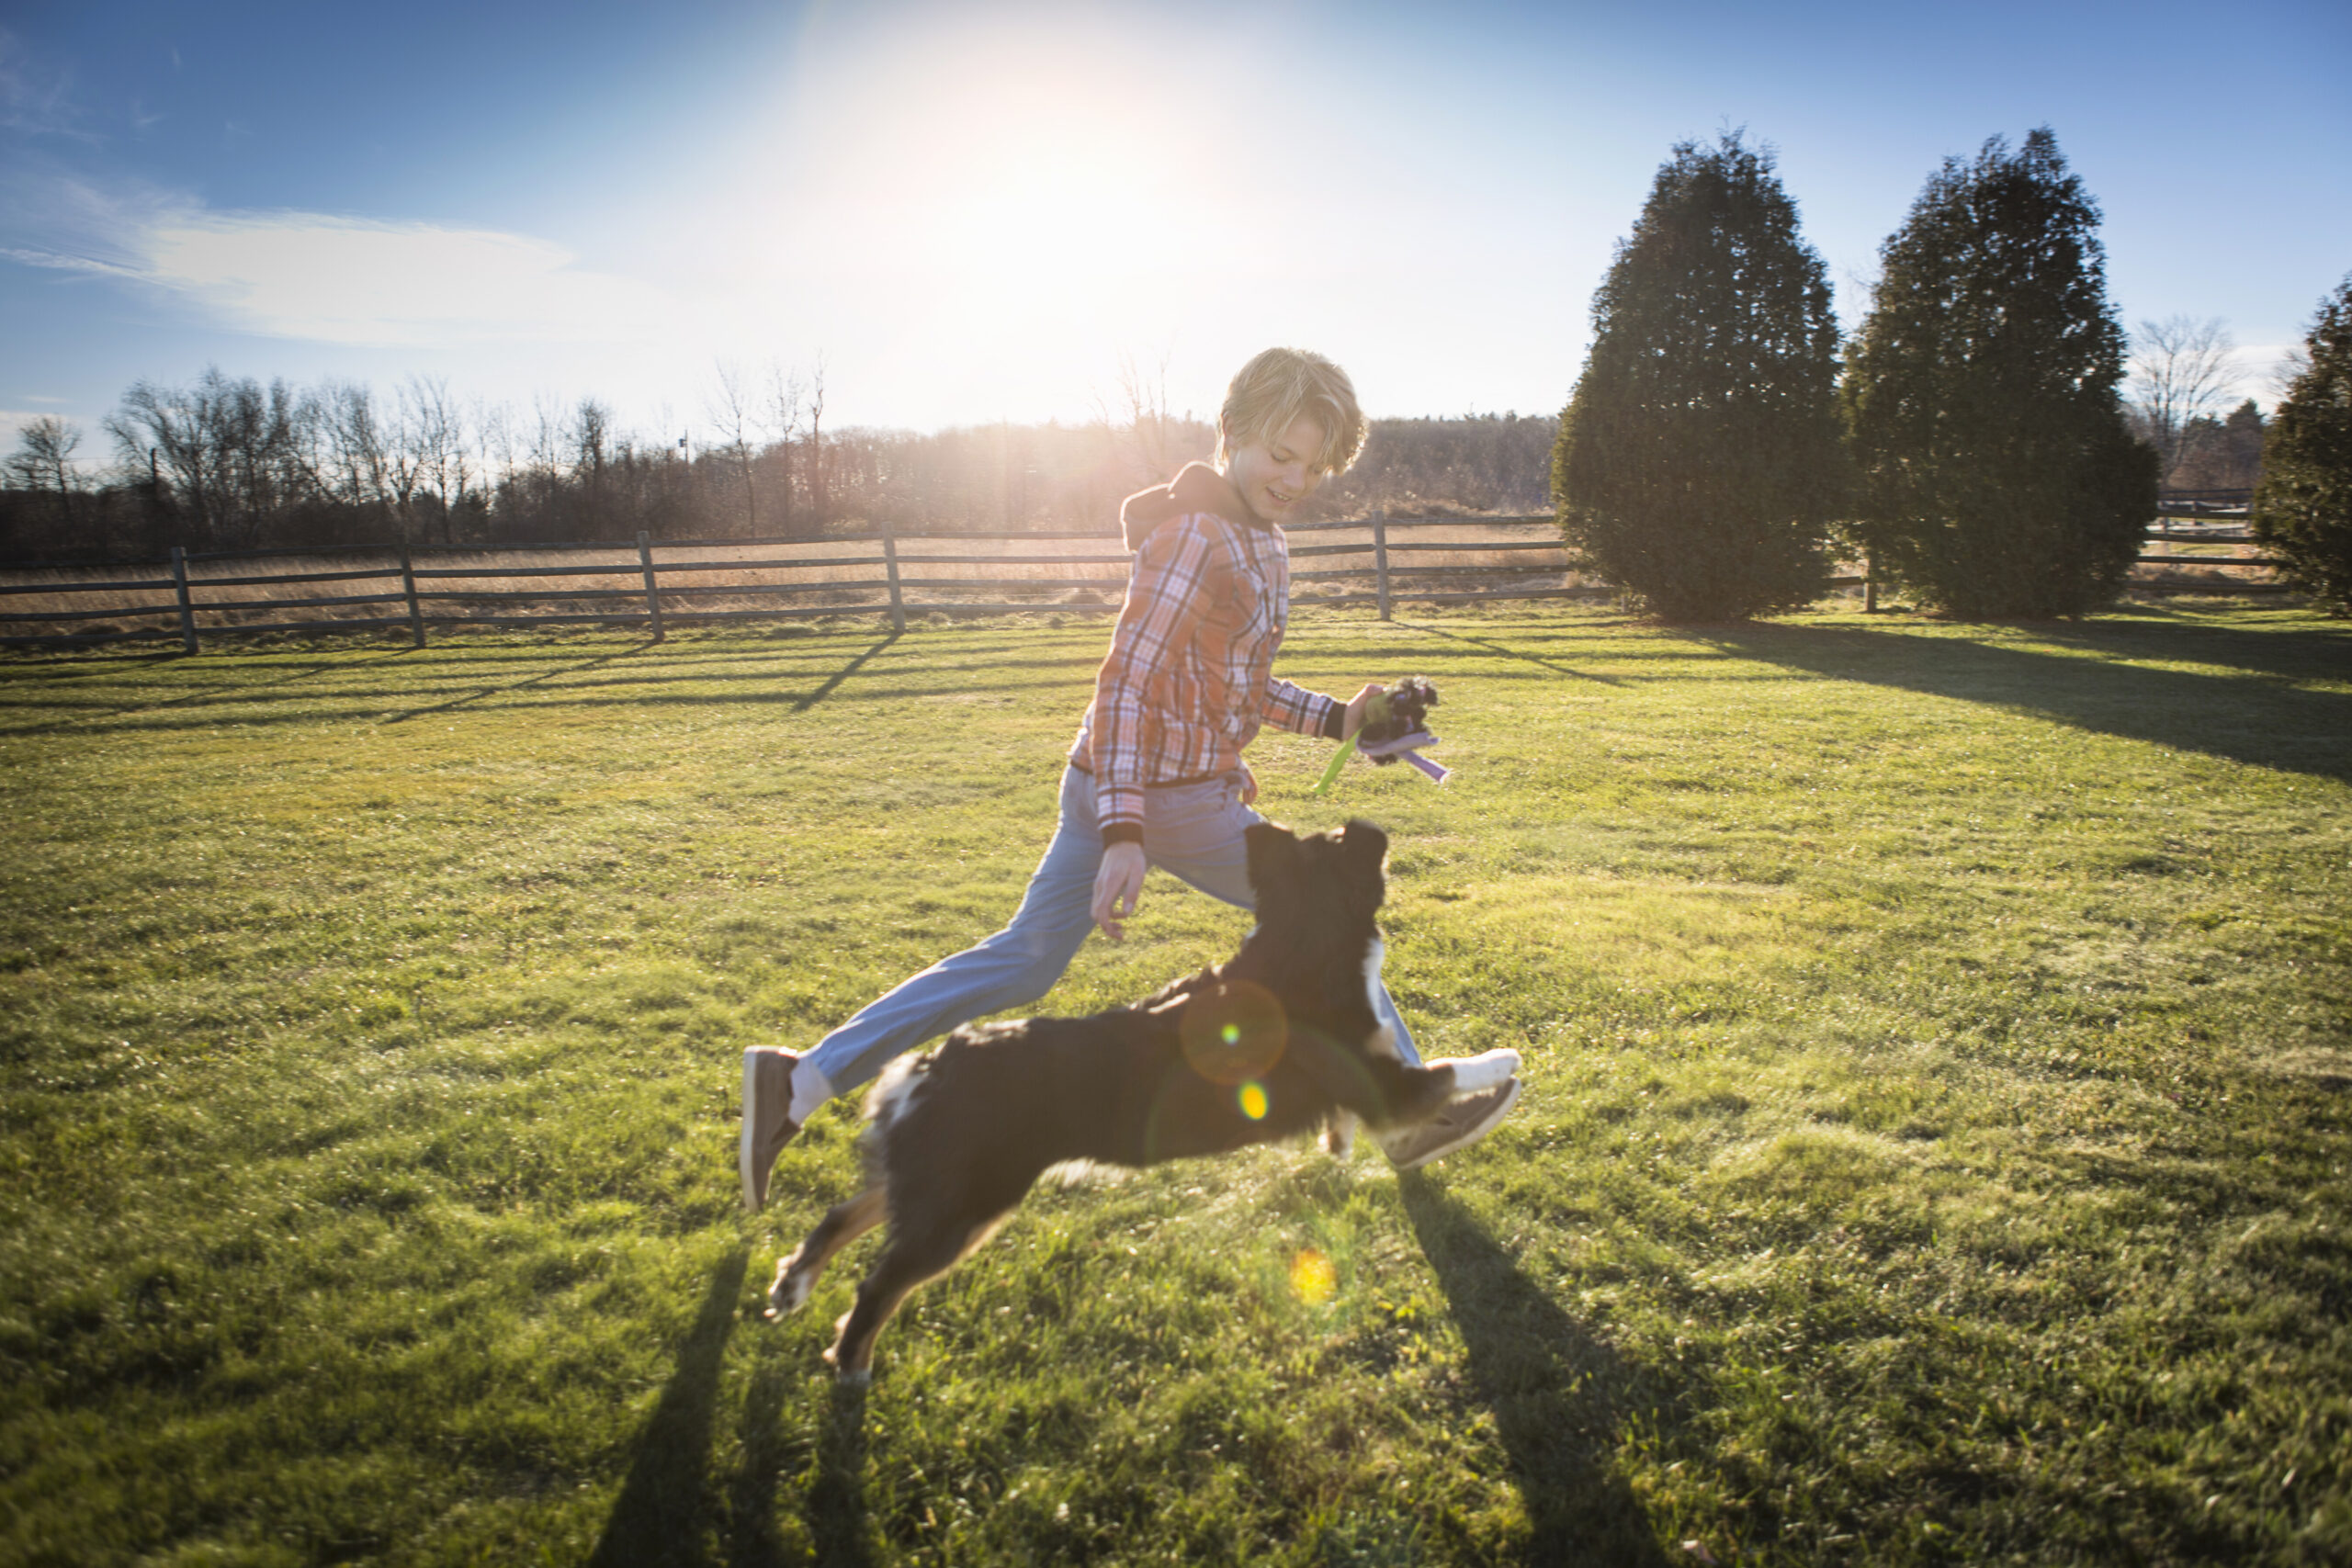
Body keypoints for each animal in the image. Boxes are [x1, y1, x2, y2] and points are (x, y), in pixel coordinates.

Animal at [762, 818, 1514, 1382]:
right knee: (877, 1286)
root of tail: (931, 1065)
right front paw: (1512, 1059)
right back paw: (851, 1366)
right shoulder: (1390, 1085)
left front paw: (1342, 1141)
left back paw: (791, 1285)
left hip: (933, 1181)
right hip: (965, 1206)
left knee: (844, 1212)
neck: (1302, 939)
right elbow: (1455, 1068)